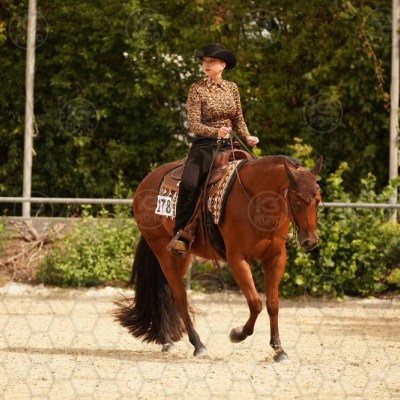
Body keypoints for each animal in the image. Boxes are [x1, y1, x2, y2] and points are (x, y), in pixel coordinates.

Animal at [114, 155, 322, 361]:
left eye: (318, 201)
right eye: (296, 202)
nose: (310, 241)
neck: (255, 199)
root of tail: (146, 181)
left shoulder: (275, 259)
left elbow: (273, 304)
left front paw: (278, 349)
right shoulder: (237, 259)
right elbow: (255, 302)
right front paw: (238, 334)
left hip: (181, 256)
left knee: (165, 293)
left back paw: (167, 341)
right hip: (161, 249)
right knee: (179, 296)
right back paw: (198, 345)